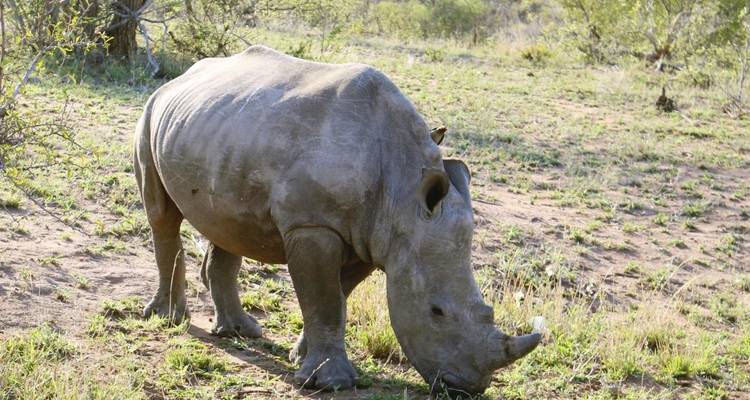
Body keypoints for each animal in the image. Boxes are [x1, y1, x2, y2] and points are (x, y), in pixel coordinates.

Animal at [134, 45, 540, 395]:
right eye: (436, 312)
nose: (468, 387)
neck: (403, 189)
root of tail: (182, 77)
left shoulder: (370, 236)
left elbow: (337, 296)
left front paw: (302, 357)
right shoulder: (313, 224)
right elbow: (325, 298)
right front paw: (331, 383)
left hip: (224, 132)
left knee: (227, 222)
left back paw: (241, 332)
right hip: (151, 113)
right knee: (162, 215)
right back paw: (168, 320)